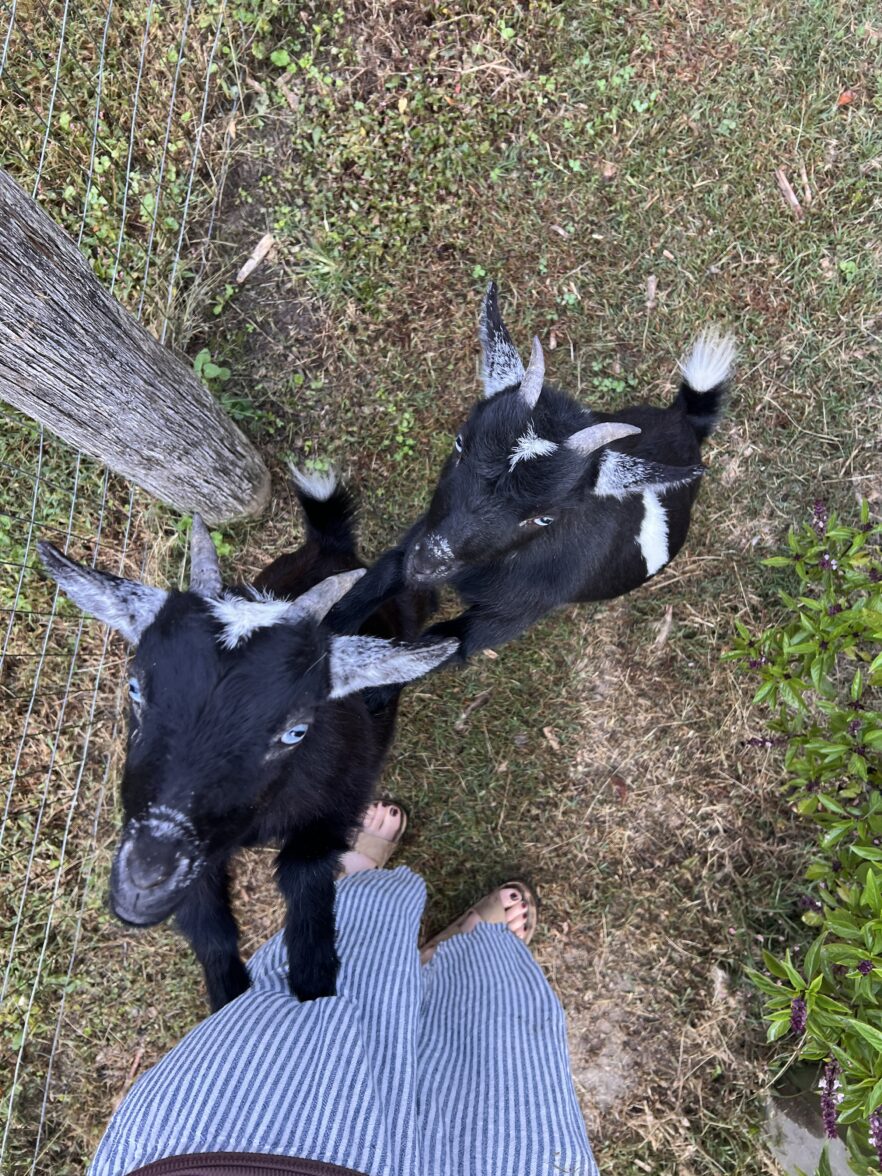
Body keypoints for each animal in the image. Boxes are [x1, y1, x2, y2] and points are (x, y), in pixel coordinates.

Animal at [38, 473, 455, 1011]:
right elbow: (212, 929)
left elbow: (307, 880)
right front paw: (231, 999)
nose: (143, 884)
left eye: (296, 731)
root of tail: (330, 545)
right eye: (134, 687)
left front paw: (315, 989)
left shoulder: (337, 805)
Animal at [328, 282, 734, 665]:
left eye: (544, 518)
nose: (427, 564)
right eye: (460, 443)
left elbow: (439, 648)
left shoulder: (507, 618)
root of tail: (686, 419)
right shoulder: (415, 538)